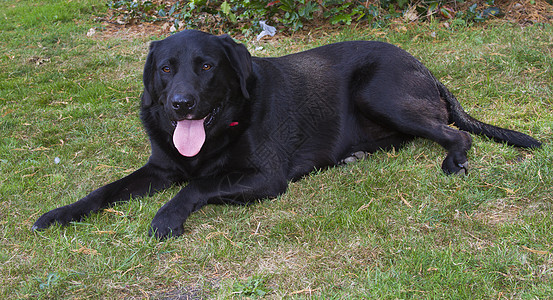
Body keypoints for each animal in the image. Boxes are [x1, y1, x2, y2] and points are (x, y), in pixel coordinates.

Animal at [32, 29, 540, 238]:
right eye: (165, 69)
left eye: (207, 66)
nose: (180, 104)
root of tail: (425, 68)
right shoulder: (160, 168)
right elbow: (104, 190)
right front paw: (59, 214)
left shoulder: (265, 178)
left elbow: (198, 185)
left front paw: (167, 217)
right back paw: (354, 155)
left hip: (379, 92)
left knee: (453, 134)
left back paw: (455, 160)